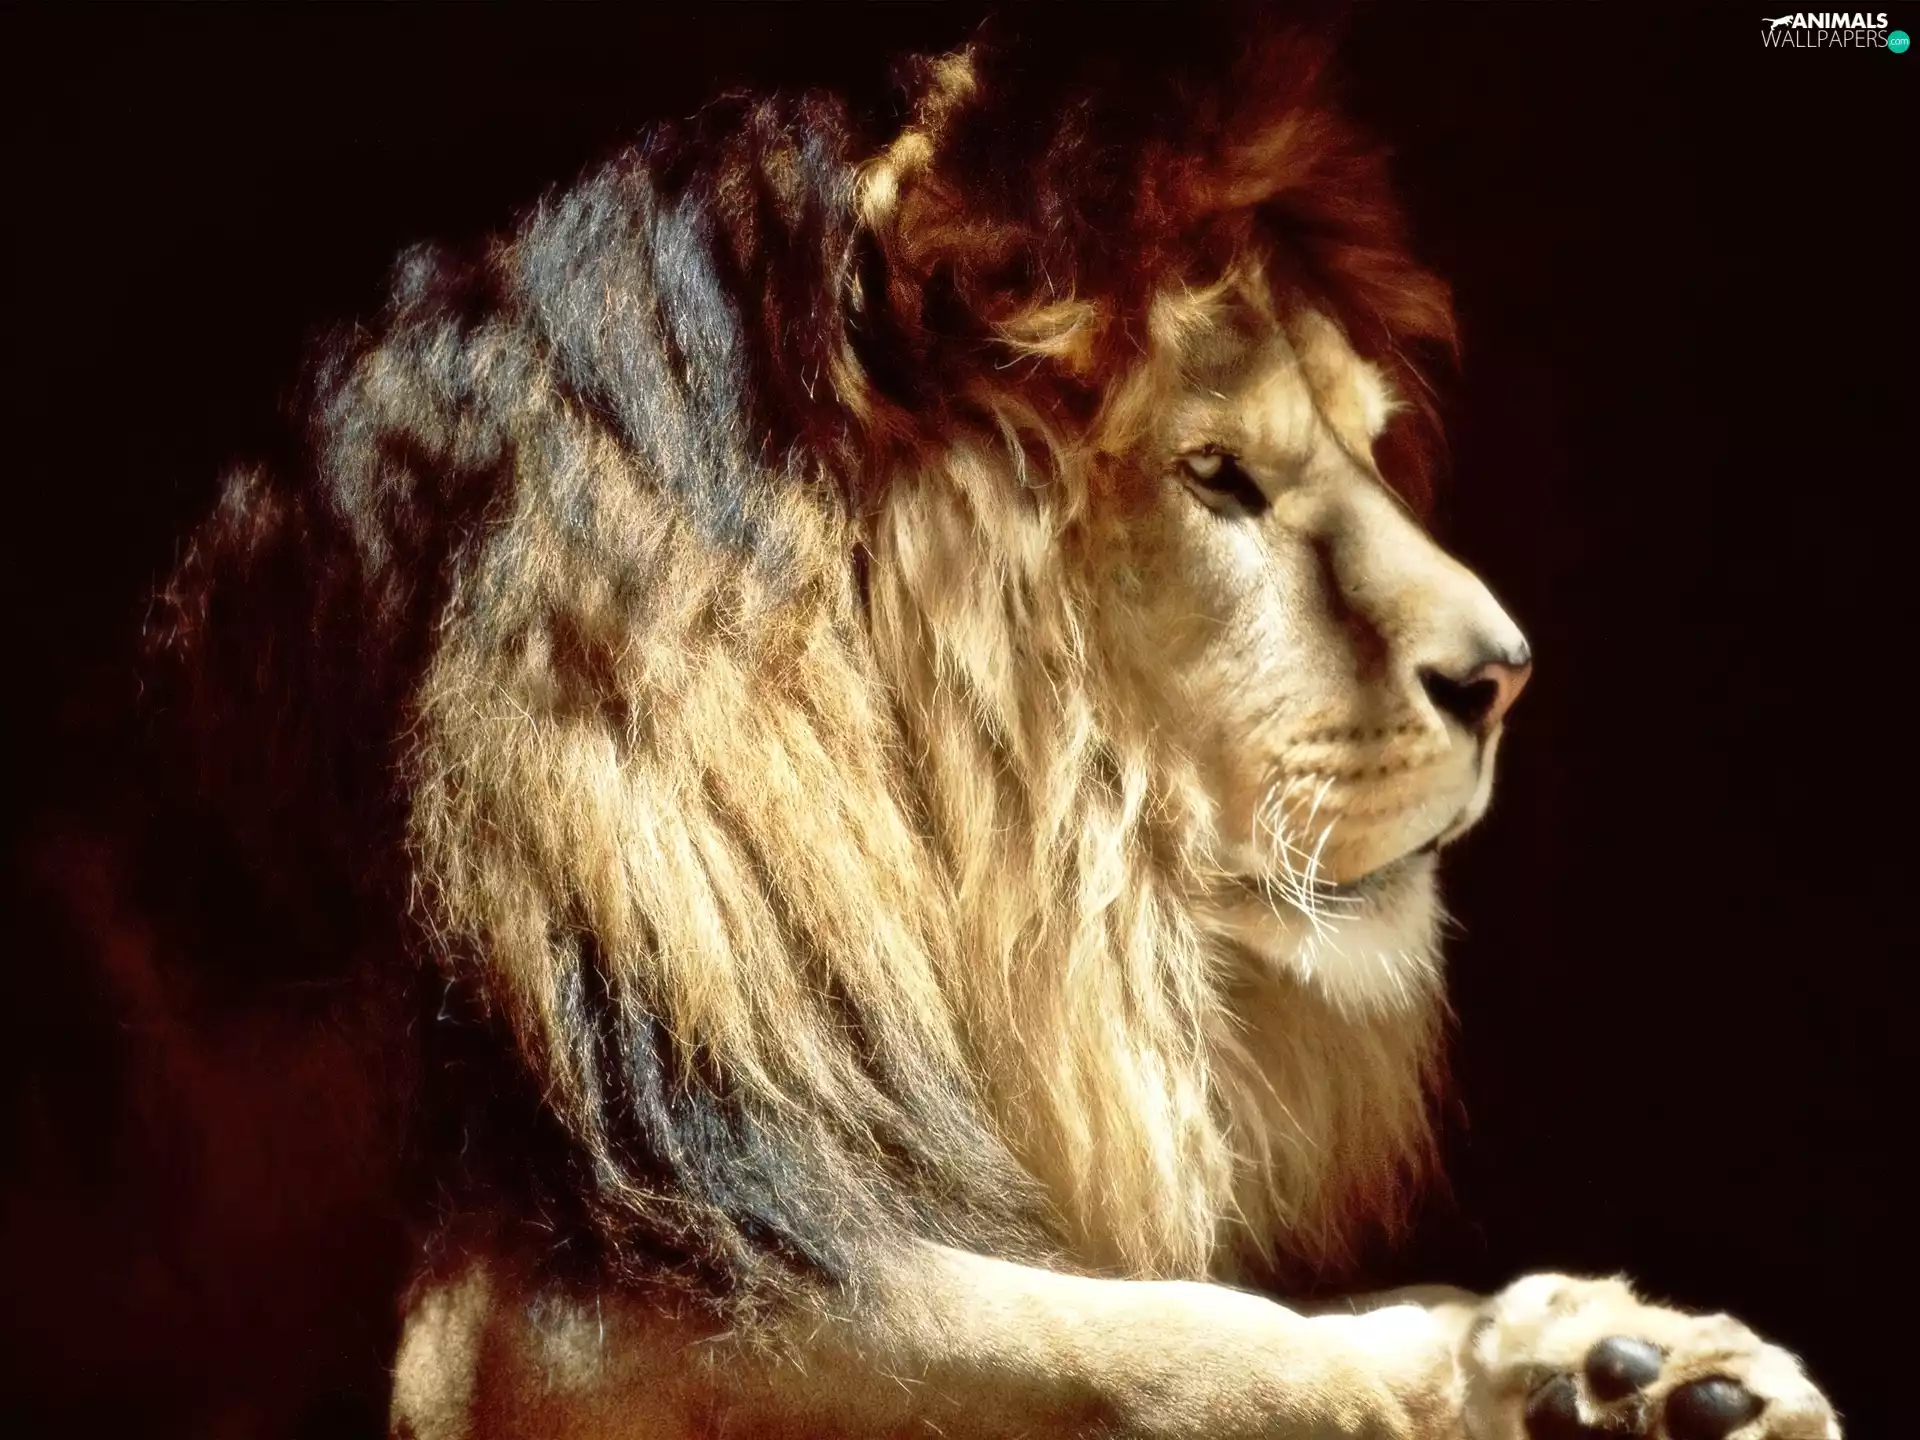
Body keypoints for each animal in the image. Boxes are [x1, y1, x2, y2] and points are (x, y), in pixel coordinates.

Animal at [2, 14, 1838, 1440]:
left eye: (1373, 446)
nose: (1504, 673)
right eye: (1215, 475)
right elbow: (1157, 1333)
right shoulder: (521, 1316)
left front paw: (1612, 1363)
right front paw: (1488, 1377)